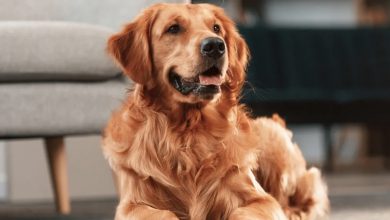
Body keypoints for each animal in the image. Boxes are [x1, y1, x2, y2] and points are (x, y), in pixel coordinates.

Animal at [102, 3, 328, 220]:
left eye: (216, 28)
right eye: (173, 28)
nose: (215, 46)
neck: (189, 132)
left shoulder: (260, 198)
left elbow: (243, 211)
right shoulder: (132, 204)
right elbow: (163, 213)